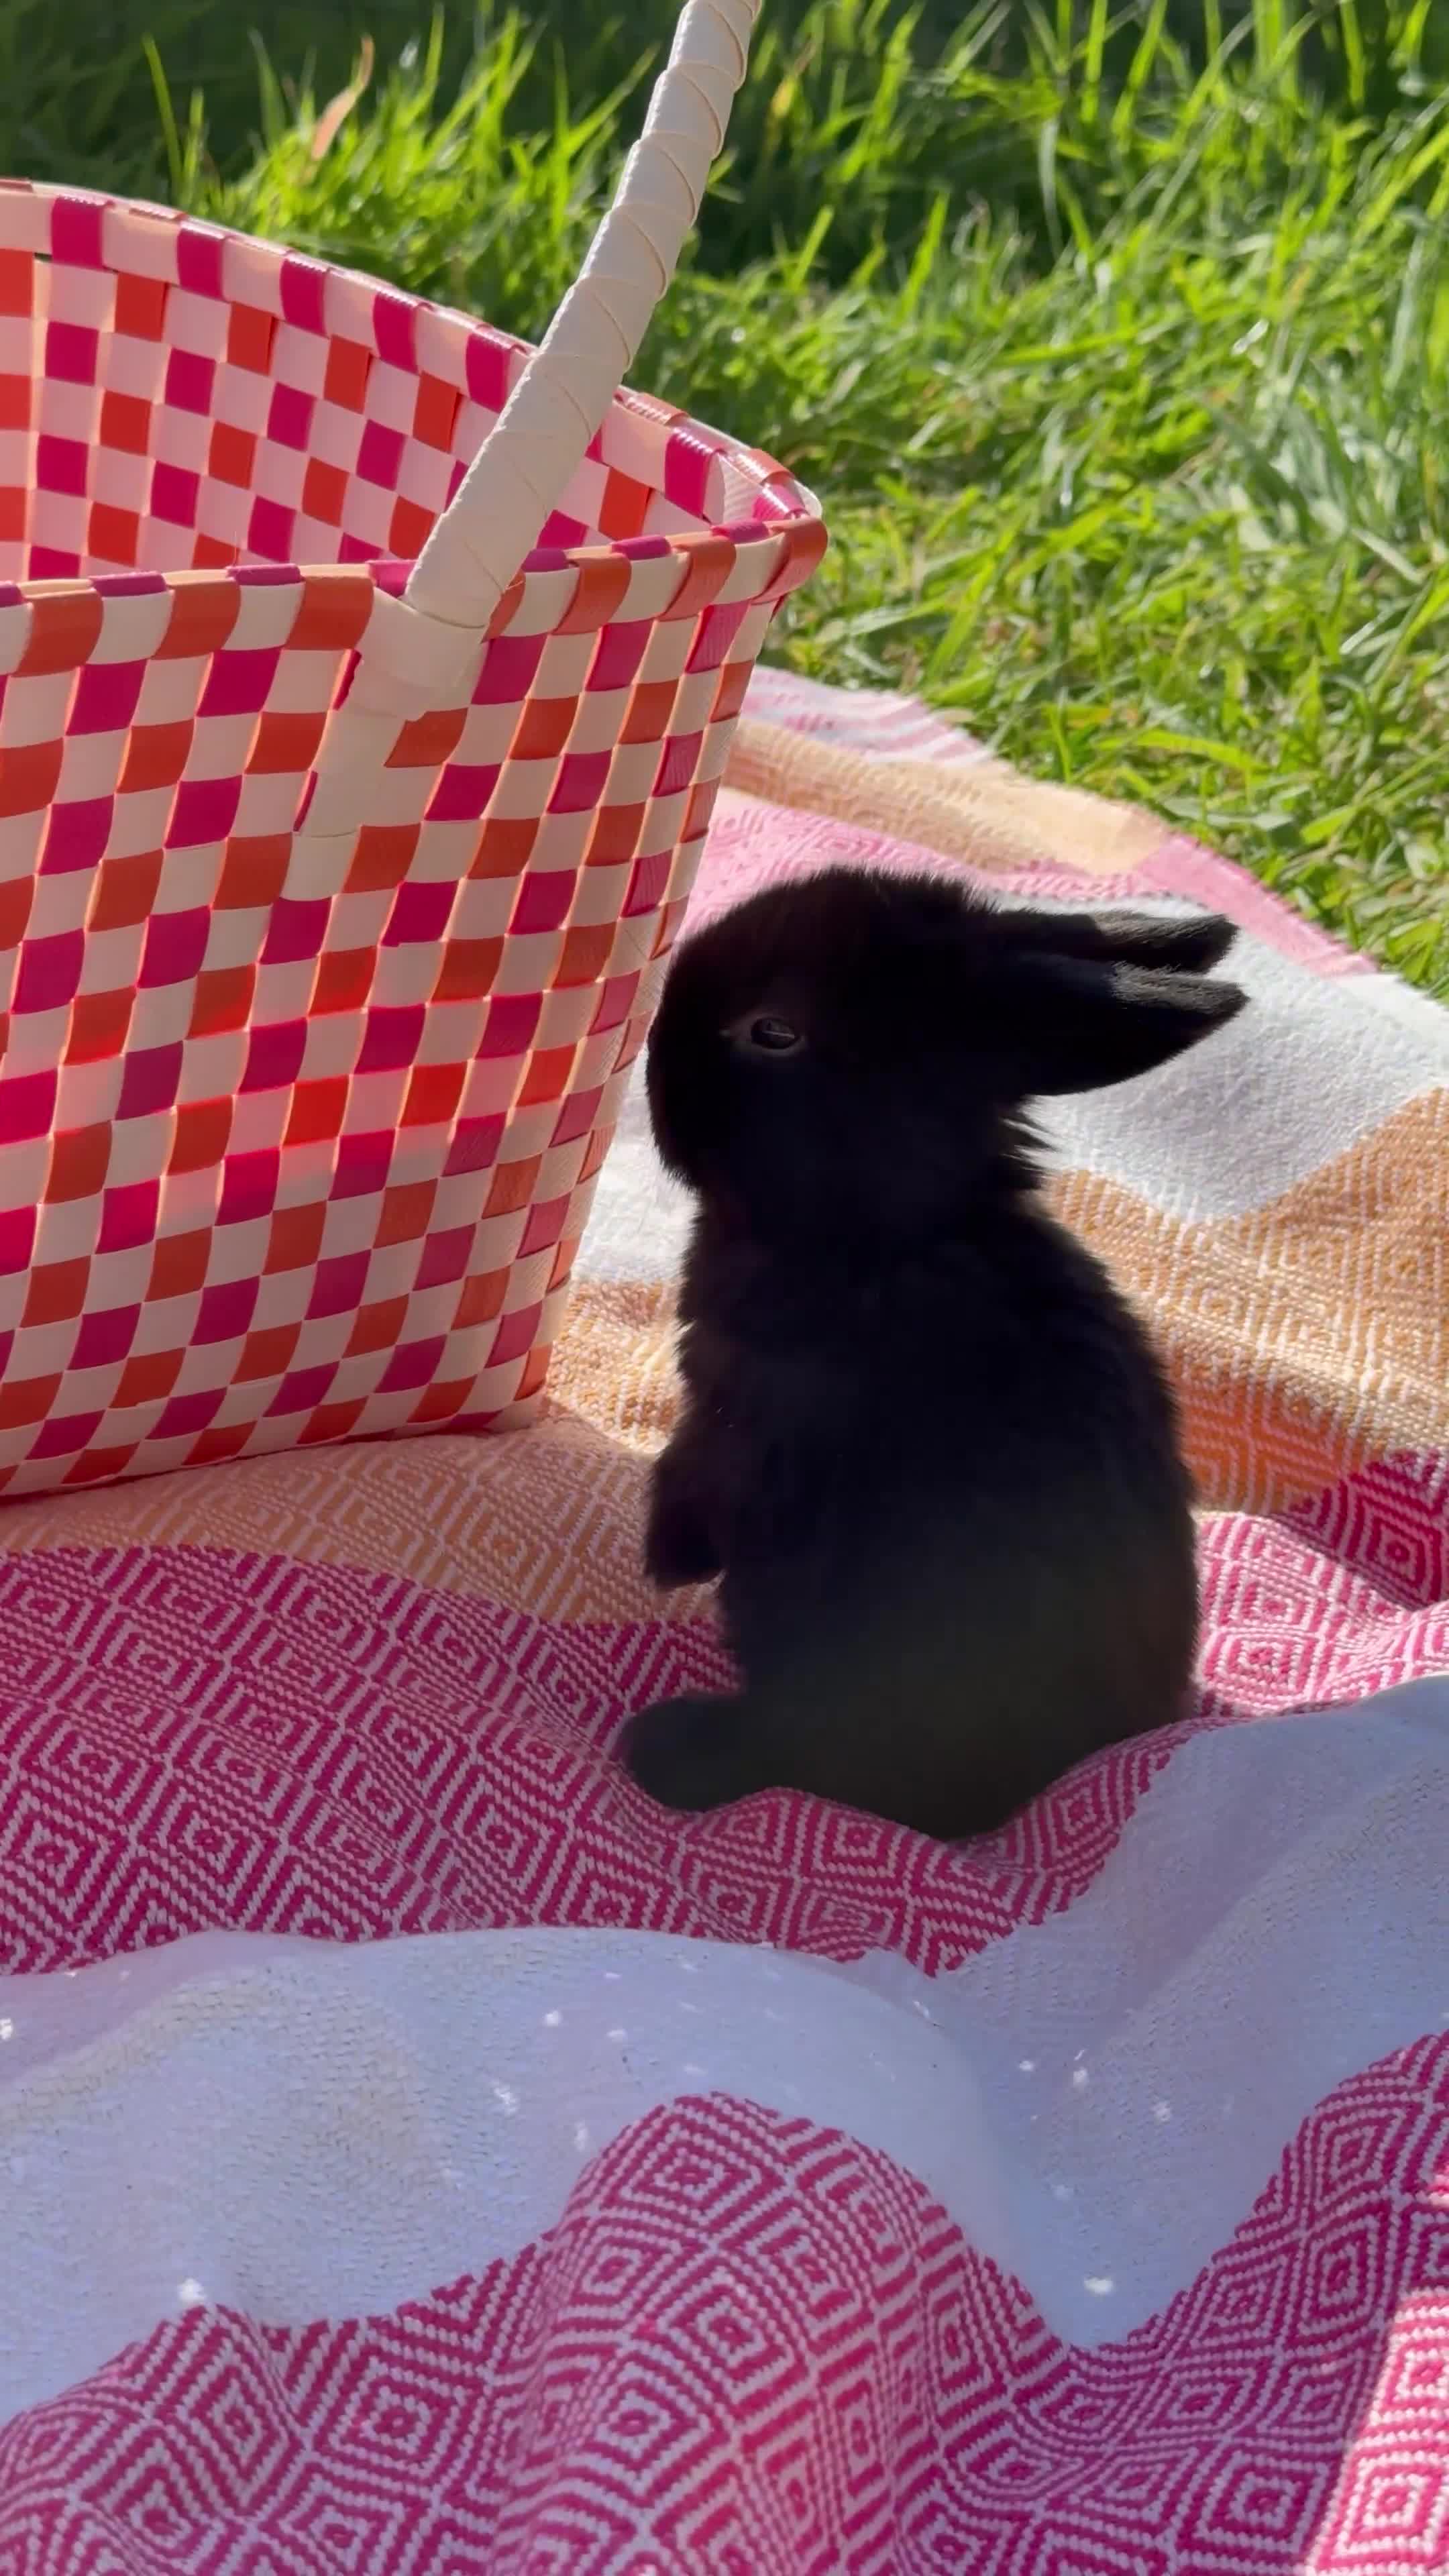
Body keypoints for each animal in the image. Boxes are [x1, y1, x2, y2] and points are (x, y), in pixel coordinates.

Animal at [616, 864, 1247, 1840]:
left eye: (774, 1031)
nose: (651, 1049)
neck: (885, 1233)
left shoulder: (738, 1416)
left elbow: (687, 1475)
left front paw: (666, 1560)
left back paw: (667, 1748)